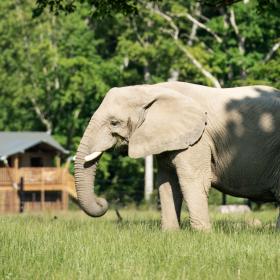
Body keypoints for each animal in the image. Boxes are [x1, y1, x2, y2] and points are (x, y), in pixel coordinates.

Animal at [74, 82, 280, 231]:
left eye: (114, 123)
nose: (103, 201)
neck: (152, 89)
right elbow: (167, 183)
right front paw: (170, 233)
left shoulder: (198, 138)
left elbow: (193, 180)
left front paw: (203, 235)